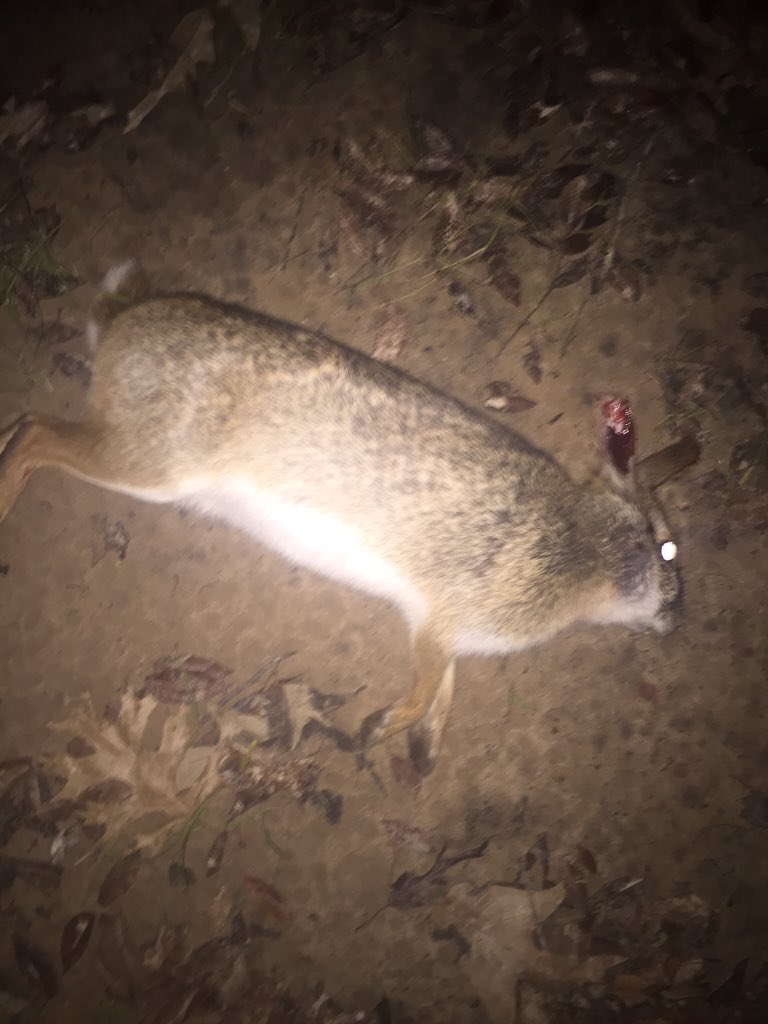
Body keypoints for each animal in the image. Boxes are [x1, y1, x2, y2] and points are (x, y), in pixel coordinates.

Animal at [0, 261, 685, 774]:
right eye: (667, 550)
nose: (677, 623)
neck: (584, 542)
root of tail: (123, 320)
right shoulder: (442, 619)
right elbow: (428, 682)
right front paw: (382, 730)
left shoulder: (441, 628)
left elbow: (446, 686)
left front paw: (422, 750)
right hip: (153, 462)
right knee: (34, 434)